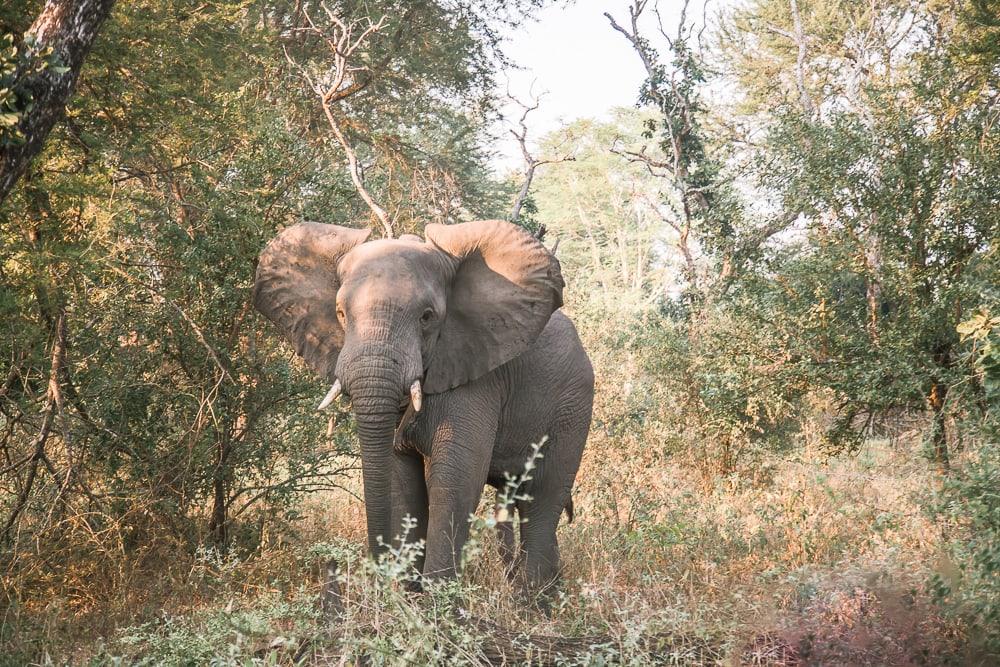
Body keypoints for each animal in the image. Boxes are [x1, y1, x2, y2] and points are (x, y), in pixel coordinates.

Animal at [252, 218, 592, 588]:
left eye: (427, 317)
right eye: (340, 313)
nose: (374, 575)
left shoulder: (476, 375)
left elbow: (454, 481)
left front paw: (437, 600)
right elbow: (403, 486)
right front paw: (408, 595)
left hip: (573, 407)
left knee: (543, 498)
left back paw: (532, 596)